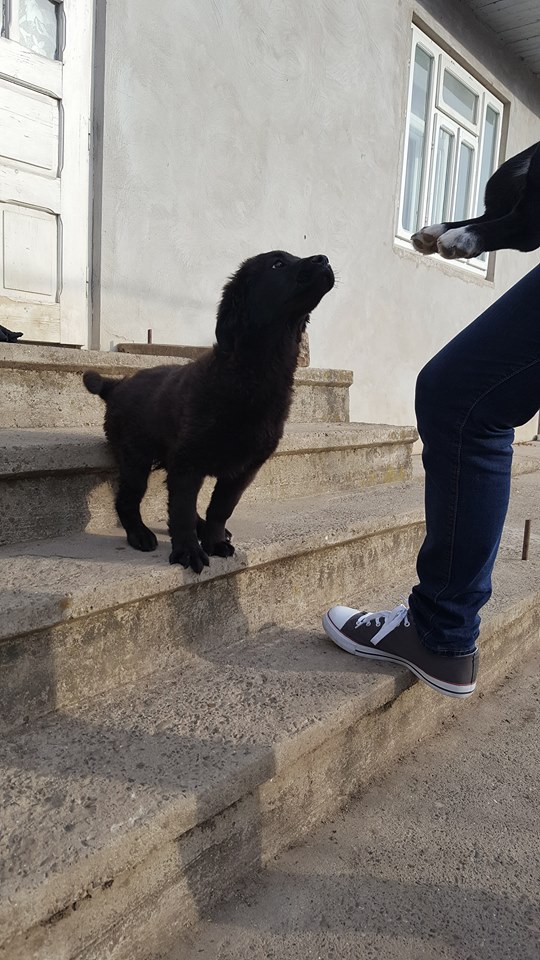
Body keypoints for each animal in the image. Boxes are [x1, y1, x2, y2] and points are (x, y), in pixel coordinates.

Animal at [84, 251, 334, 572]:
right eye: (277, 264)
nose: (324, 259)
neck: (252, 373)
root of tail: (116, 385)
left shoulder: (244, 468)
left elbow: (220, 508)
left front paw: (214, 541)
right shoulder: (188, 462)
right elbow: (181, 509)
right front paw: (188, 551)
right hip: (135, 457)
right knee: (127, 500)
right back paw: (139, 534)